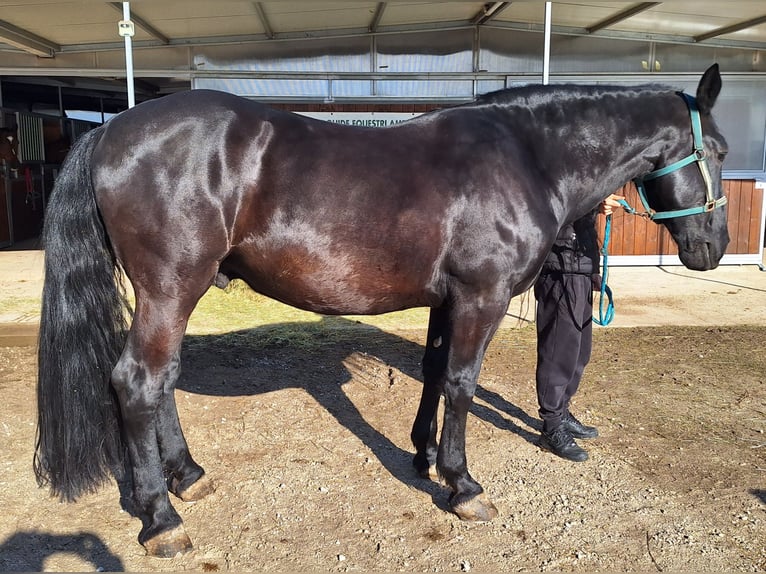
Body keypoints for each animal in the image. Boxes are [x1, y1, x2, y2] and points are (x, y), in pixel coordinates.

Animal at [36, 63, 732, 560]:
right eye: (720, 151)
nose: (714, 247)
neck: (525, 157)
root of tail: (110, 130)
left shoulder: (447, 300)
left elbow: (433, 372)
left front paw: (423, 454)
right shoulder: (482, 297)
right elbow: (461, 382)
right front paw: (462, 485)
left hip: (178, 293)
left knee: (164, 381)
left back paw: (189, 476)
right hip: (171, 287)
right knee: (138, 382)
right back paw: (161, 518)